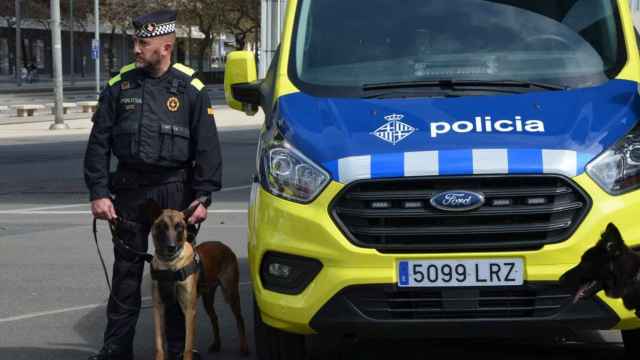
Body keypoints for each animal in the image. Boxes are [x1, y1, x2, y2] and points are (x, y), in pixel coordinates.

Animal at [145, 200, 248, 360]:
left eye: (179, 227)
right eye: (162, 226)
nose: (171, 247)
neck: (170, 265)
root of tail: (223, 245)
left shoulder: (189, 310)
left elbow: (187, 347)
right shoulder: (158, 308)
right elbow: (159, 346)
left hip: (230, 293)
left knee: (240, 318)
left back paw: (244, 347)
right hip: (208, 299)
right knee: (215, 318)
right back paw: (217, 344)